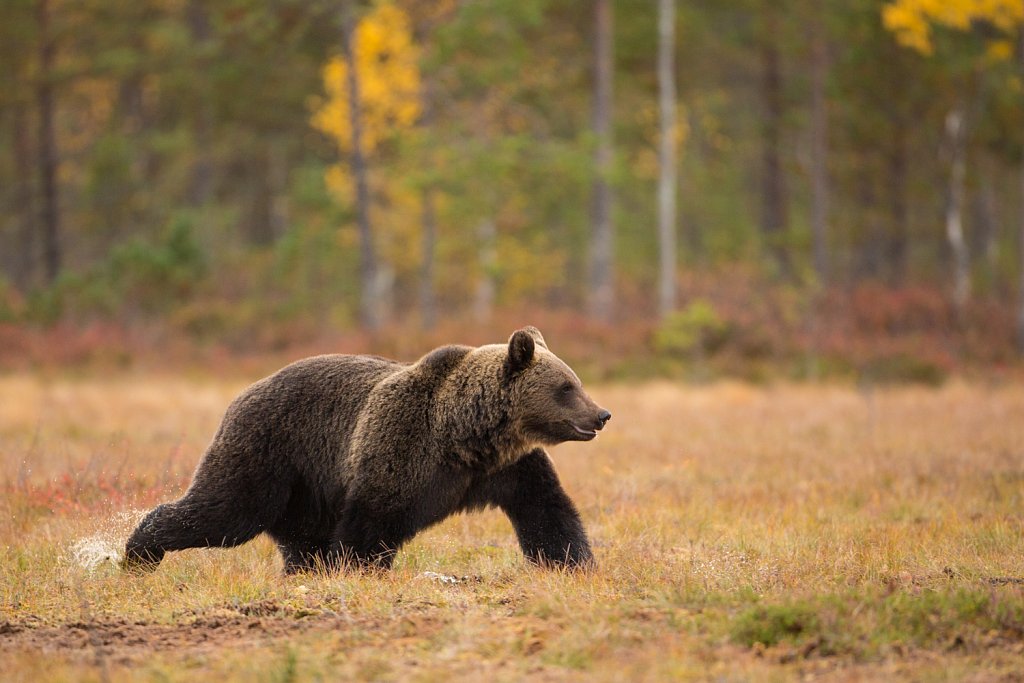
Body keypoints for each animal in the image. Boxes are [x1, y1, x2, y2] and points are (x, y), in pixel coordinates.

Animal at [123, 327, 610, 573]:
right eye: (567, 387)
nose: (601, 414)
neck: (468, 437)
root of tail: (242, 393)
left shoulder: (511, 467)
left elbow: (546, 509)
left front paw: (572, 563)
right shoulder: (403, 447)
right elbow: (372, 519)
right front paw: (357, 568)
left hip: (306, 488)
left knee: (298, 537)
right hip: (270, 451)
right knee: (224, 511)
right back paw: (139, 553)